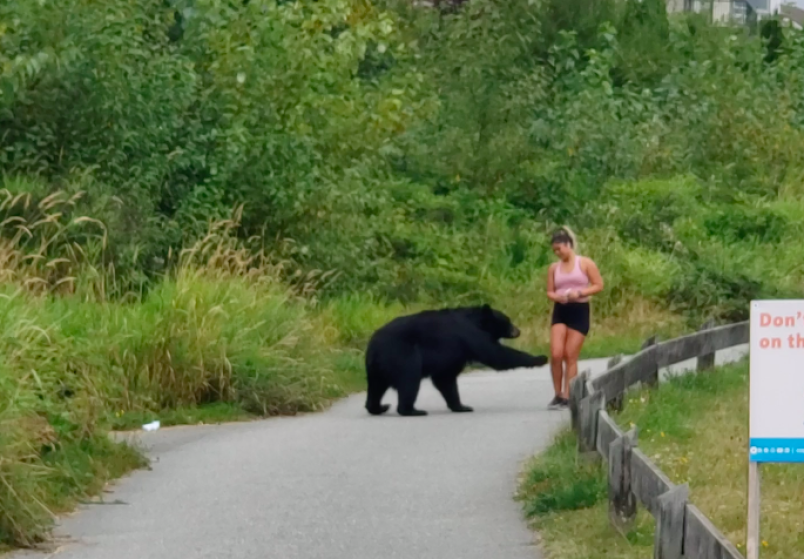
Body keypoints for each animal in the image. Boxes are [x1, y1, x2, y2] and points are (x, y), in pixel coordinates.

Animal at [362, 306, 548, 416]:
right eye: (507, 321)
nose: (518, 331)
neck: (475, 321)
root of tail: (373, 346)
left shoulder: (453, 353)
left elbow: (446, 379)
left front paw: (462, 406)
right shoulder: (469, 335)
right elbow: (496, 355)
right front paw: (540, 358)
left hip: (377, 367)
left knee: (376, 387)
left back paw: (378, 407)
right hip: (402, 356)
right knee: (409, 379)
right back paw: (411, 410)